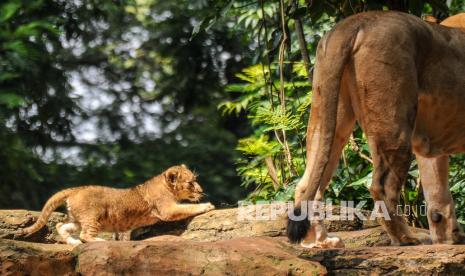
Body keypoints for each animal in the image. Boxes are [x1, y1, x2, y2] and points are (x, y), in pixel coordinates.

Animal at [286, 11, 464, 248]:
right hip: (394, 120)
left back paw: (319, 241)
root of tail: (354, 22)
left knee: (307, 182)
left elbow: (437, 193)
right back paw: (406, 238)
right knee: (382, 186)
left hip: (329, 114)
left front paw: (448, 238)